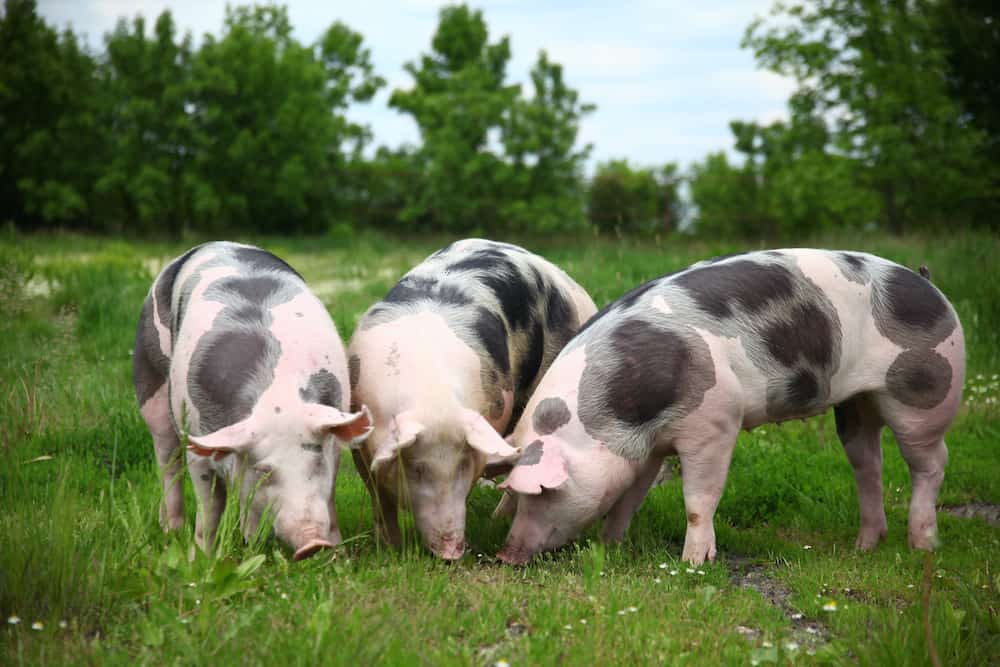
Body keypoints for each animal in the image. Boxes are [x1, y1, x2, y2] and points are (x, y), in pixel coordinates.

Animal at [133, 242, 372, 560]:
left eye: (316, 461)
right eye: (264, 470)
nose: (312, 544)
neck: (277, 399)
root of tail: (215, 244)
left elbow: (329, 500)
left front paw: (339, 558)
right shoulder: (199, 445)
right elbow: (210, 507)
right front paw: (201, 559)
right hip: (151, 383)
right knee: (167, 461)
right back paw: (172, 531)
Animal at [348, 239, 597, 560]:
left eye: (463, 466)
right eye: (416, 468)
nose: (452, 552)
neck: (431, 396)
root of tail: (574, 288)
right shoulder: (360, 441)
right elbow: (379, 498)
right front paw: (389, 549)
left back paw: (498, 517)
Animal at [496, 249, 965, 566]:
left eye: (542, 493)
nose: (504, 555)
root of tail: (929, 284)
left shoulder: (716, 420)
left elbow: (698, 499)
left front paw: (693, 563)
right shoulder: (646, 447)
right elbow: (630, 496)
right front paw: (609, 545)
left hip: (925, 391)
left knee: (932, 463)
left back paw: (922, 545)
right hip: (856, 403)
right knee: (869, 461)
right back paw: (864, 546)